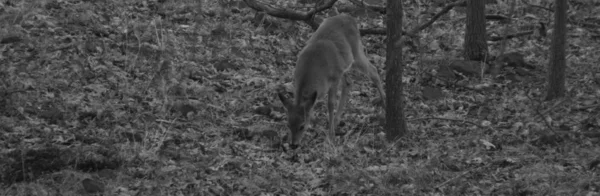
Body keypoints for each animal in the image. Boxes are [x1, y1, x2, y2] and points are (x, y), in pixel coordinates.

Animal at [278, 14, 386, 145]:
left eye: (302, 126)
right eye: (288, 125)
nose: (293, 144)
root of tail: (349, 17)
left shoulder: (334, 78)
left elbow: (330, 104)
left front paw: (331, 135)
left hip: (356, 53)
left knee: (373, 71)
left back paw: (384, 103)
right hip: (345, 64)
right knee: (349, 82)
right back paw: (337, 120)